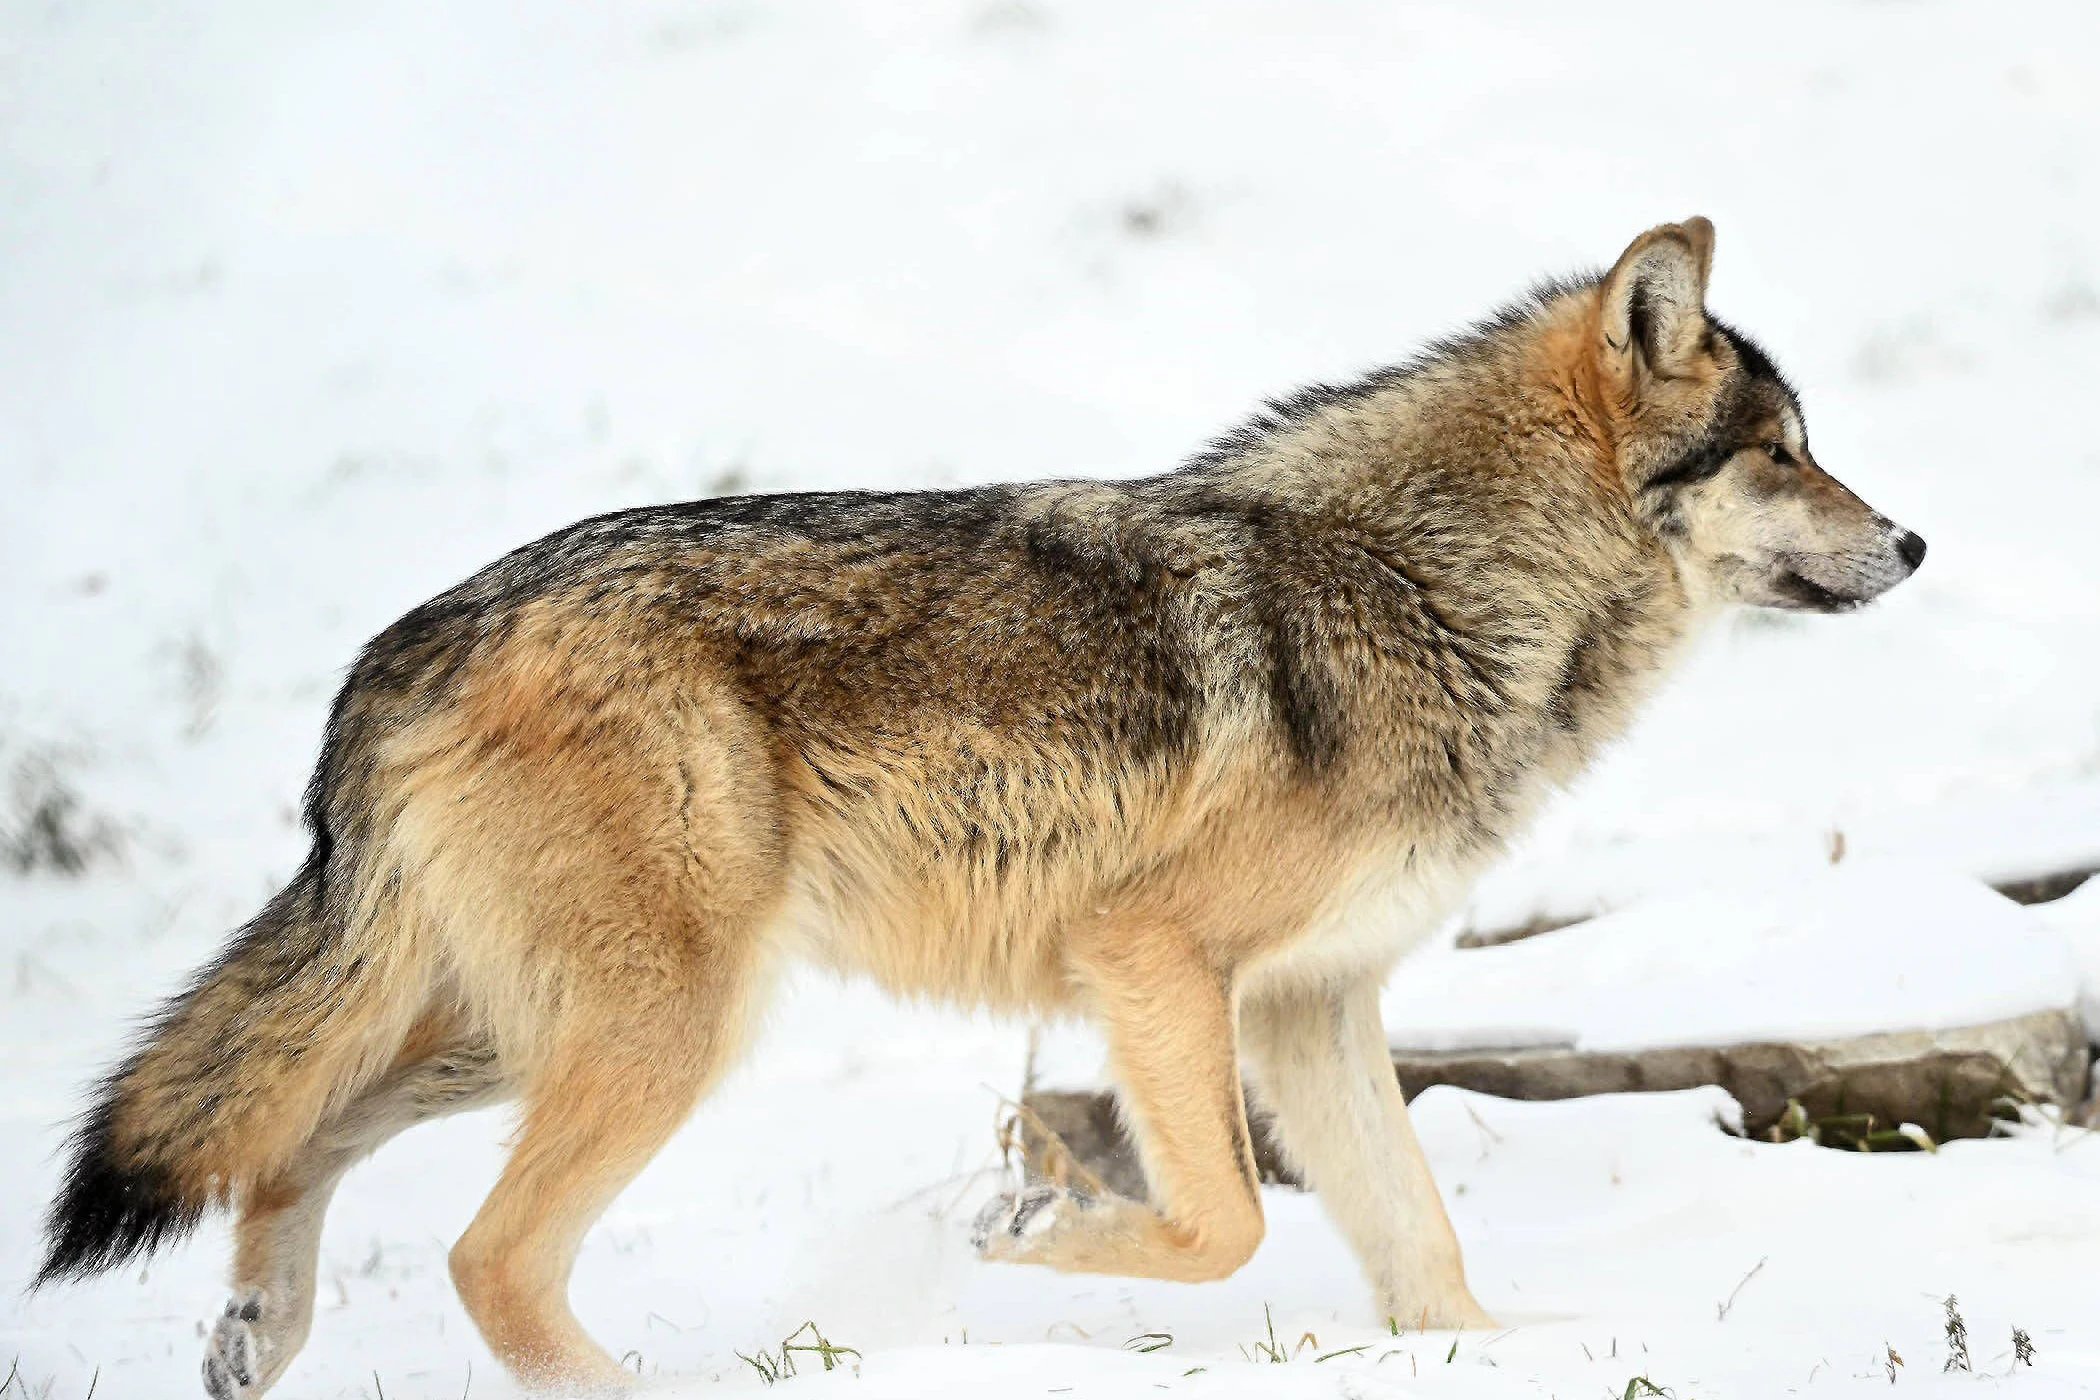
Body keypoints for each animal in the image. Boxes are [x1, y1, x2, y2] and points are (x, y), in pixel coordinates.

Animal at [36, 218, 1924, 1396]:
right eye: (1782, 453)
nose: (1913, 541)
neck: (1436, 584)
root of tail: (406, 639)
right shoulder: (1151, 956)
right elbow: (1225, 1224)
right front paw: (1022, 1251)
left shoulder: (1311, 1003)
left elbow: (1420, 1245)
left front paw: (1490, 1356)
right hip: (664, 1033)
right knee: (487, 1257)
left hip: (541, 1029)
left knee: (290, 1141)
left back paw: (255, 1339)